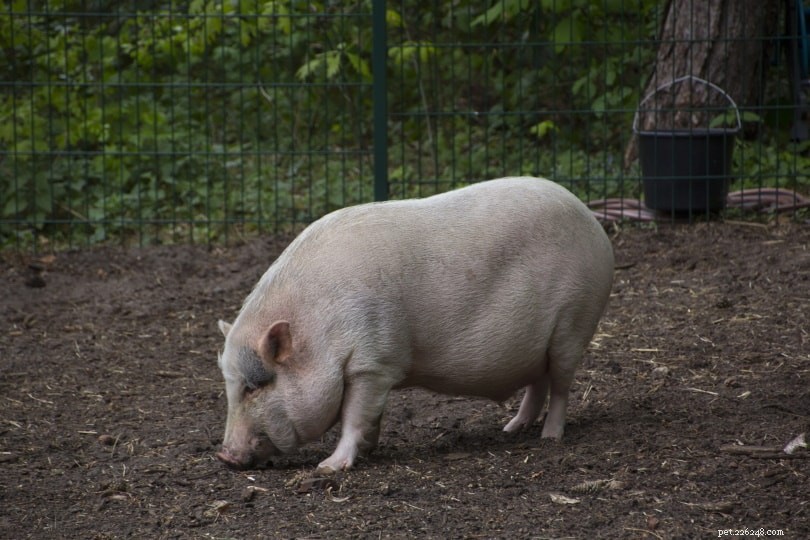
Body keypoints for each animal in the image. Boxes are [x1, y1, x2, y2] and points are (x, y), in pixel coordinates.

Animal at [215, 176, 614, 474]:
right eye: (230, 386)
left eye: (254, 386)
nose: (224, 456)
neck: (318, 332)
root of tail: (594, 224)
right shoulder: (373, 369)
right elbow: (371, 416)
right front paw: (370, 451)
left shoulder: (373, 362)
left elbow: (354, 416)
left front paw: (328, 467)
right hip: (538, 343)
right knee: (539, 383)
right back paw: (511, 428)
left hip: (574, 323)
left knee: (561, 386)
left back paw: (550, 437)